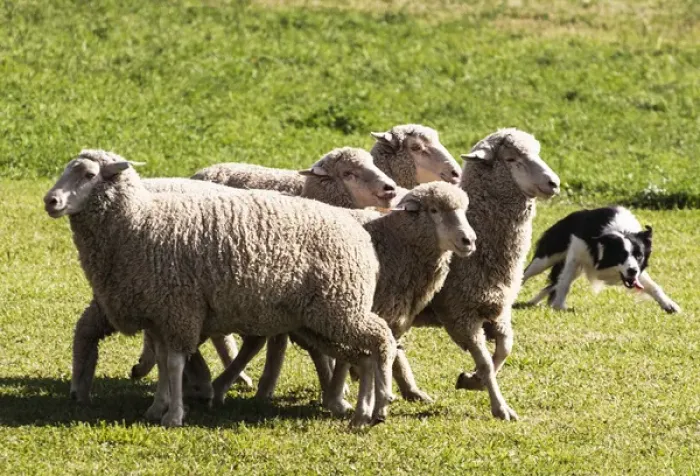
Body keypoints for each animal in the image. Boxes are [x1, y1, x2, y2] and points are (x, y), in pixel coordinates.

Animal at [45, 150, 397, 428]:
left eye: (89, 174)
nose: (51, 200)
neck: (140, 221)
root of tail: (358, 231)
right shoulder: (161, 312)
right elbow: (164, 361)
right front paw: (159, 406)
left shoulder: (179, 308)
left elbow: (173, 362)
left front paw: (174, 415)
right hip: (321, 318)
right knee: (364, 354)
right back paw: (363, 411)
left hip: (339, 309)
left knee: (381, 339)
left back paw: (379, 403)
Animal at [210, 182, 477, 410]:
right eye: (434, 210)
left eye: (464, 211)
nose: (469, 240)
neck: (397, 240)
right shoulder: (354, 307)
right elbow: (357, 353)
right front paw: (338, 398)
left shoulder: (387, 311)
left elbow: (390, 350)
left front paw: (410, 391)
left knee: (267, 341)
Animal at [408, 128, 560, 420]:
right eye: (511, 159)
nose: (554, 183)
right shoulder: (461, 314)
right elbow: (488, 362)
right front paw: (500, 408)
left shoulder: (496, 309)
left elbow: (504, 349)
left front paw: (472, 380)